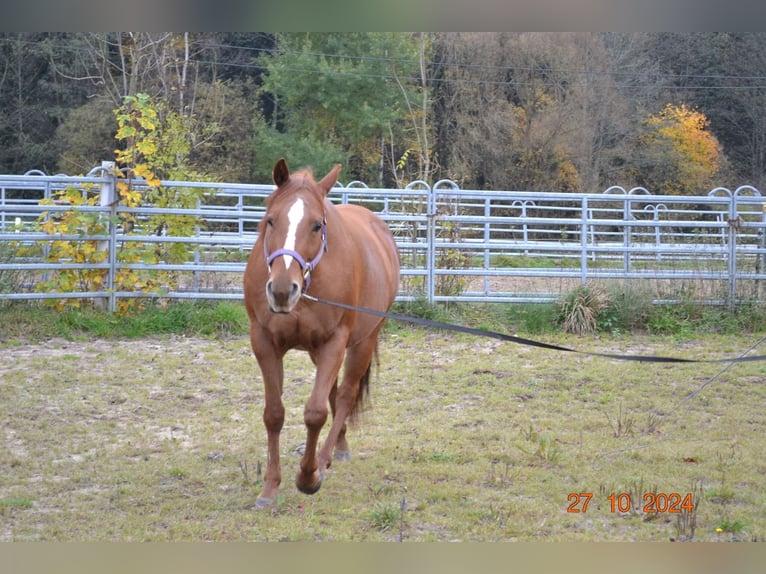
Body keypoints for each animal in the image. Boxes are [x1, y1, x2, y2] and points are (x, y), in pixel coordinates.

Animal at [246, 158, 402, 508]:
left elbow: (316, 412)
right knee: (333, 391)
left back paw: (326, 457)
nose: (281, 290)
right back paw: (336, 448)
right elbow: (274, 414)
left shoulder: (335, 342)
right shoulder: (264, 342)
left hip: (362, 342)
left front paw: (308, 477)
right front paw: (269, 487)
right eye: (270, 220)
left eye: (317, 225)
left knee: (344, 395)